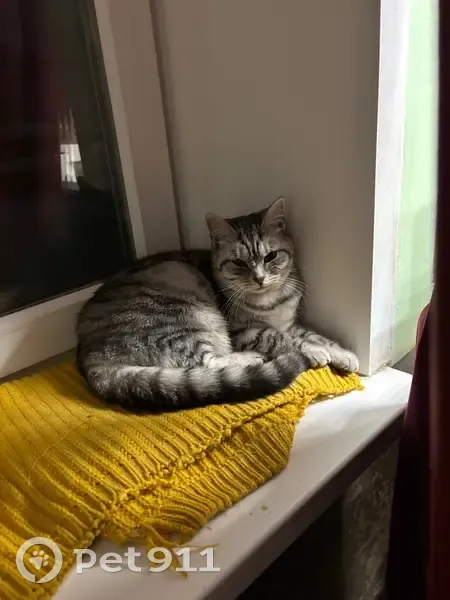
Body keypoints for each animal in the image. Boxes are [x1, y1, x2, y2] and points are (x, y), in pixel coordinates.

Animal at [76, 198, 359, 412]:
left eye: (271, 256)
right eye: (239, 263)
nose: (259, 278)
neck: (271, 301)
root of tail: (90, 357)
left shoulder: (289, 323)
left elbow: (314, 334)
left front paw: (342, 353)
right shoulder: (245, 331)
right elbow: (283, 339)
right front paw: (315, 351)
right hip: (185, 315)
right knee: (207, 363)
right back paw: (252, 359)